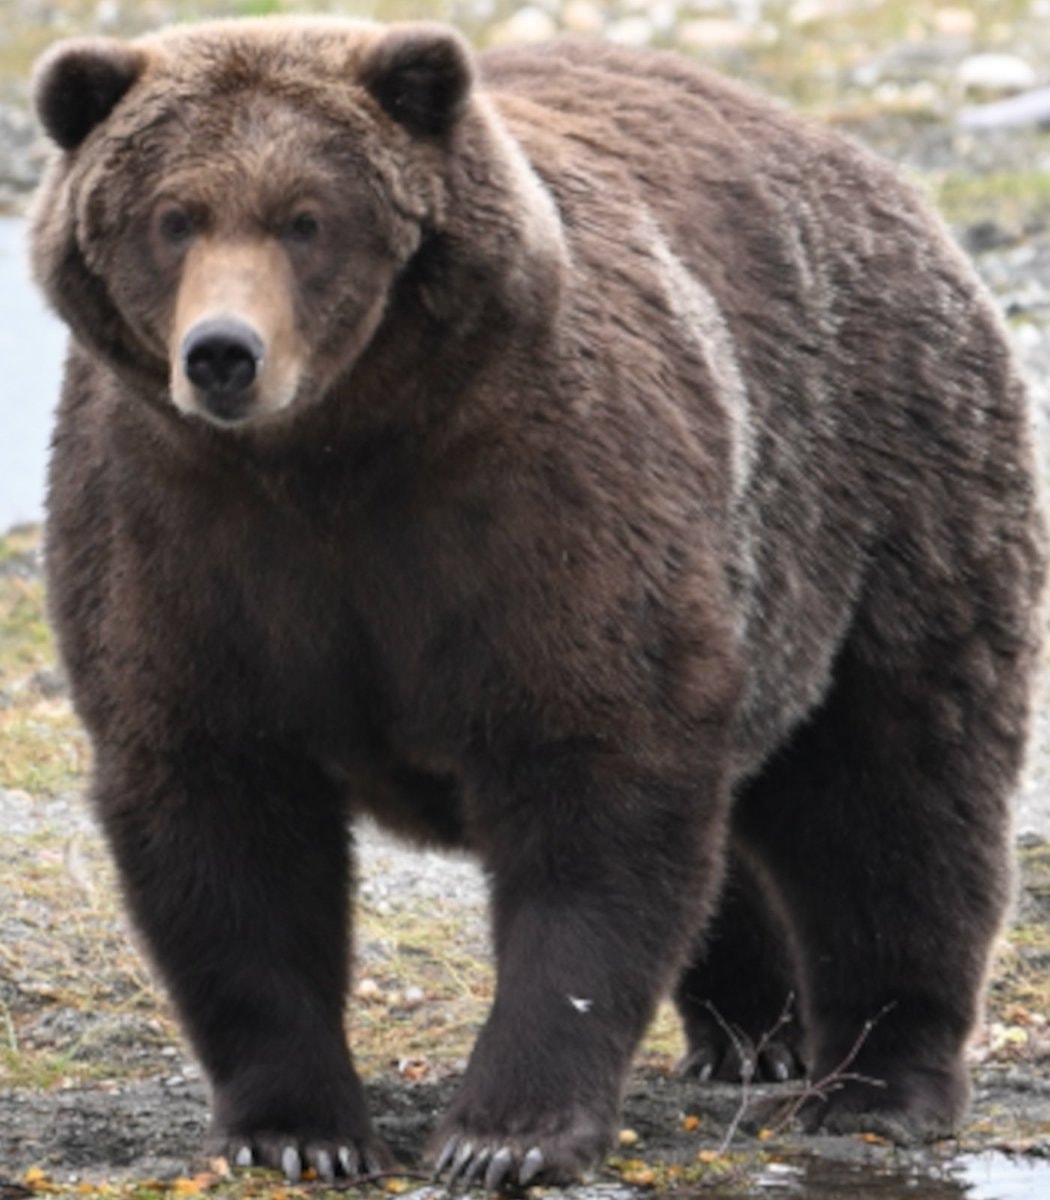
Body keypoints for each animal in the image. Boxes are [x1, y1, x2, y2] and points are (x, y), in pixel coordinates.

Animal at [28, 15, 1045, 1191]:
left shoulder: (539, 502)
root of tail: (876, 176)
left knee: (900, 791)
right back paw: (753, 1033)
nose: (223, 354)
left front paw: (503, 1132)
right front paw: (301, 1131)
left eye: (307, 219)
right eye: (173, 216)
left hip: (881, 499)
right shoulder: (181, 534)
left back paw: (879, 1083)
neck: (330, 455)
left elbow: (595, 783)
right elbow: (221, 814)